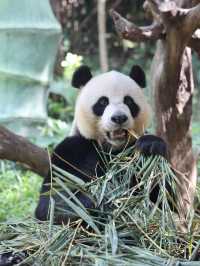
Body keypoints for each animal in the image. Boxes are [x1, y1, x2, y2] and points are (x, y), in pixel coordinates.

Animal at [34, 65, 167, 223]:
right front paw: (99, 202)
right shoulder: (71, 151)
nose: (119, 118)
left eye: (129, 101)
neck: (111, 149)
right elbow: (53, 203)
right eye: (103, 102)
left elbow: (165, 197)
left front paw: (151, 145)